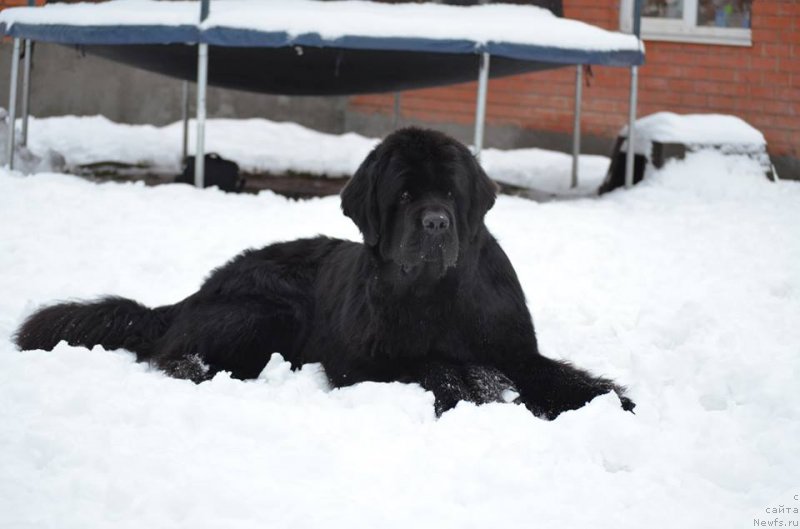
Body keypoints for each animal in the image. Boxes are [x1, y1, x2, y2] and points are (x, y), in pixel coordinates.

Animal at [14, 127, 632, 416]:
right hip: (267, 309)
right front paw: (477, 388)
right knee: (172, 353)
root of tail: (197, 290)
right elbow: (435, 366)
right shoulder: (362, 361)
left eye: (450, 194)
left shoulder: (513, 347)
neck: (435, 295)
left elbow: (556, 376)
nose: (434, 223)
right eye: (403, 194)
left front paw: (614, 402)